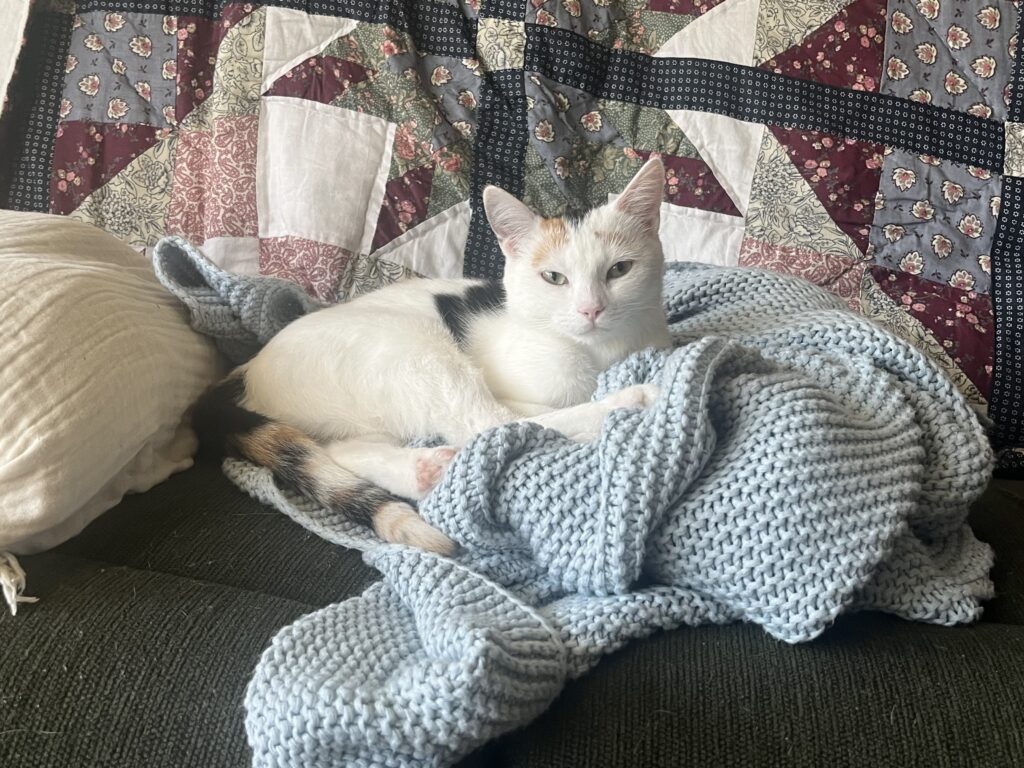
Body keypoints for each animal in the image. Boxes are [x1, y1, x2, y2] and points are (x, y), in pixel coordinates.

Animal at [191, 157, 671, 552]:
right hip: (416, 347)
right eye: (554, 278)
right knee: (487, 425)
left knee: (343, 450)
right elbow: (526, 414)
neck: (599, 352)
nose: (592, 309)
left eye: (619, 270)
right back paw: (628, 400)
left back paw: (423, 469)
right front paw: (615, 397)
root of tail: (245, 371)